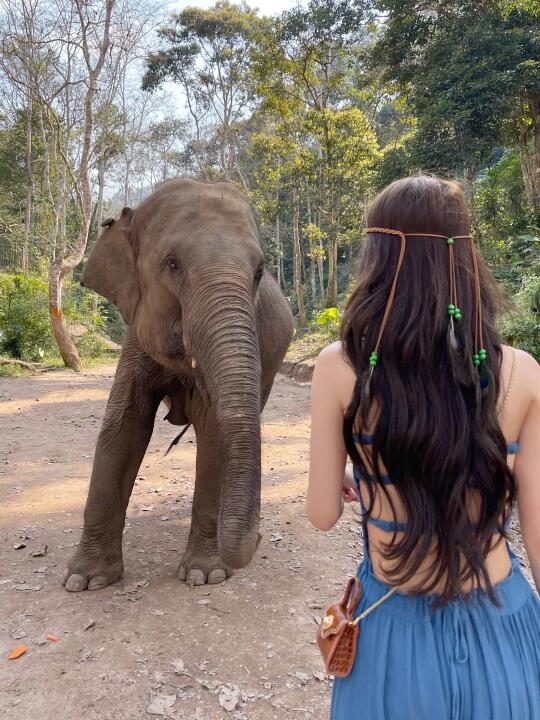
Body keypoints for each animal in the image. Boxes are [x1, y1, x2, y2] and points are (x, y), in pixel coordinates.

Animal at [63, 179, 296, 592]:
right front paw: (85, 581)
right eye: (172, 264)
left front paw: (206, 574)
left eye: (258, 272)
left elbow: (216, 431)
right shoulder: (136, 333)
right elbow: (123, 427)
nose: (252, 543)